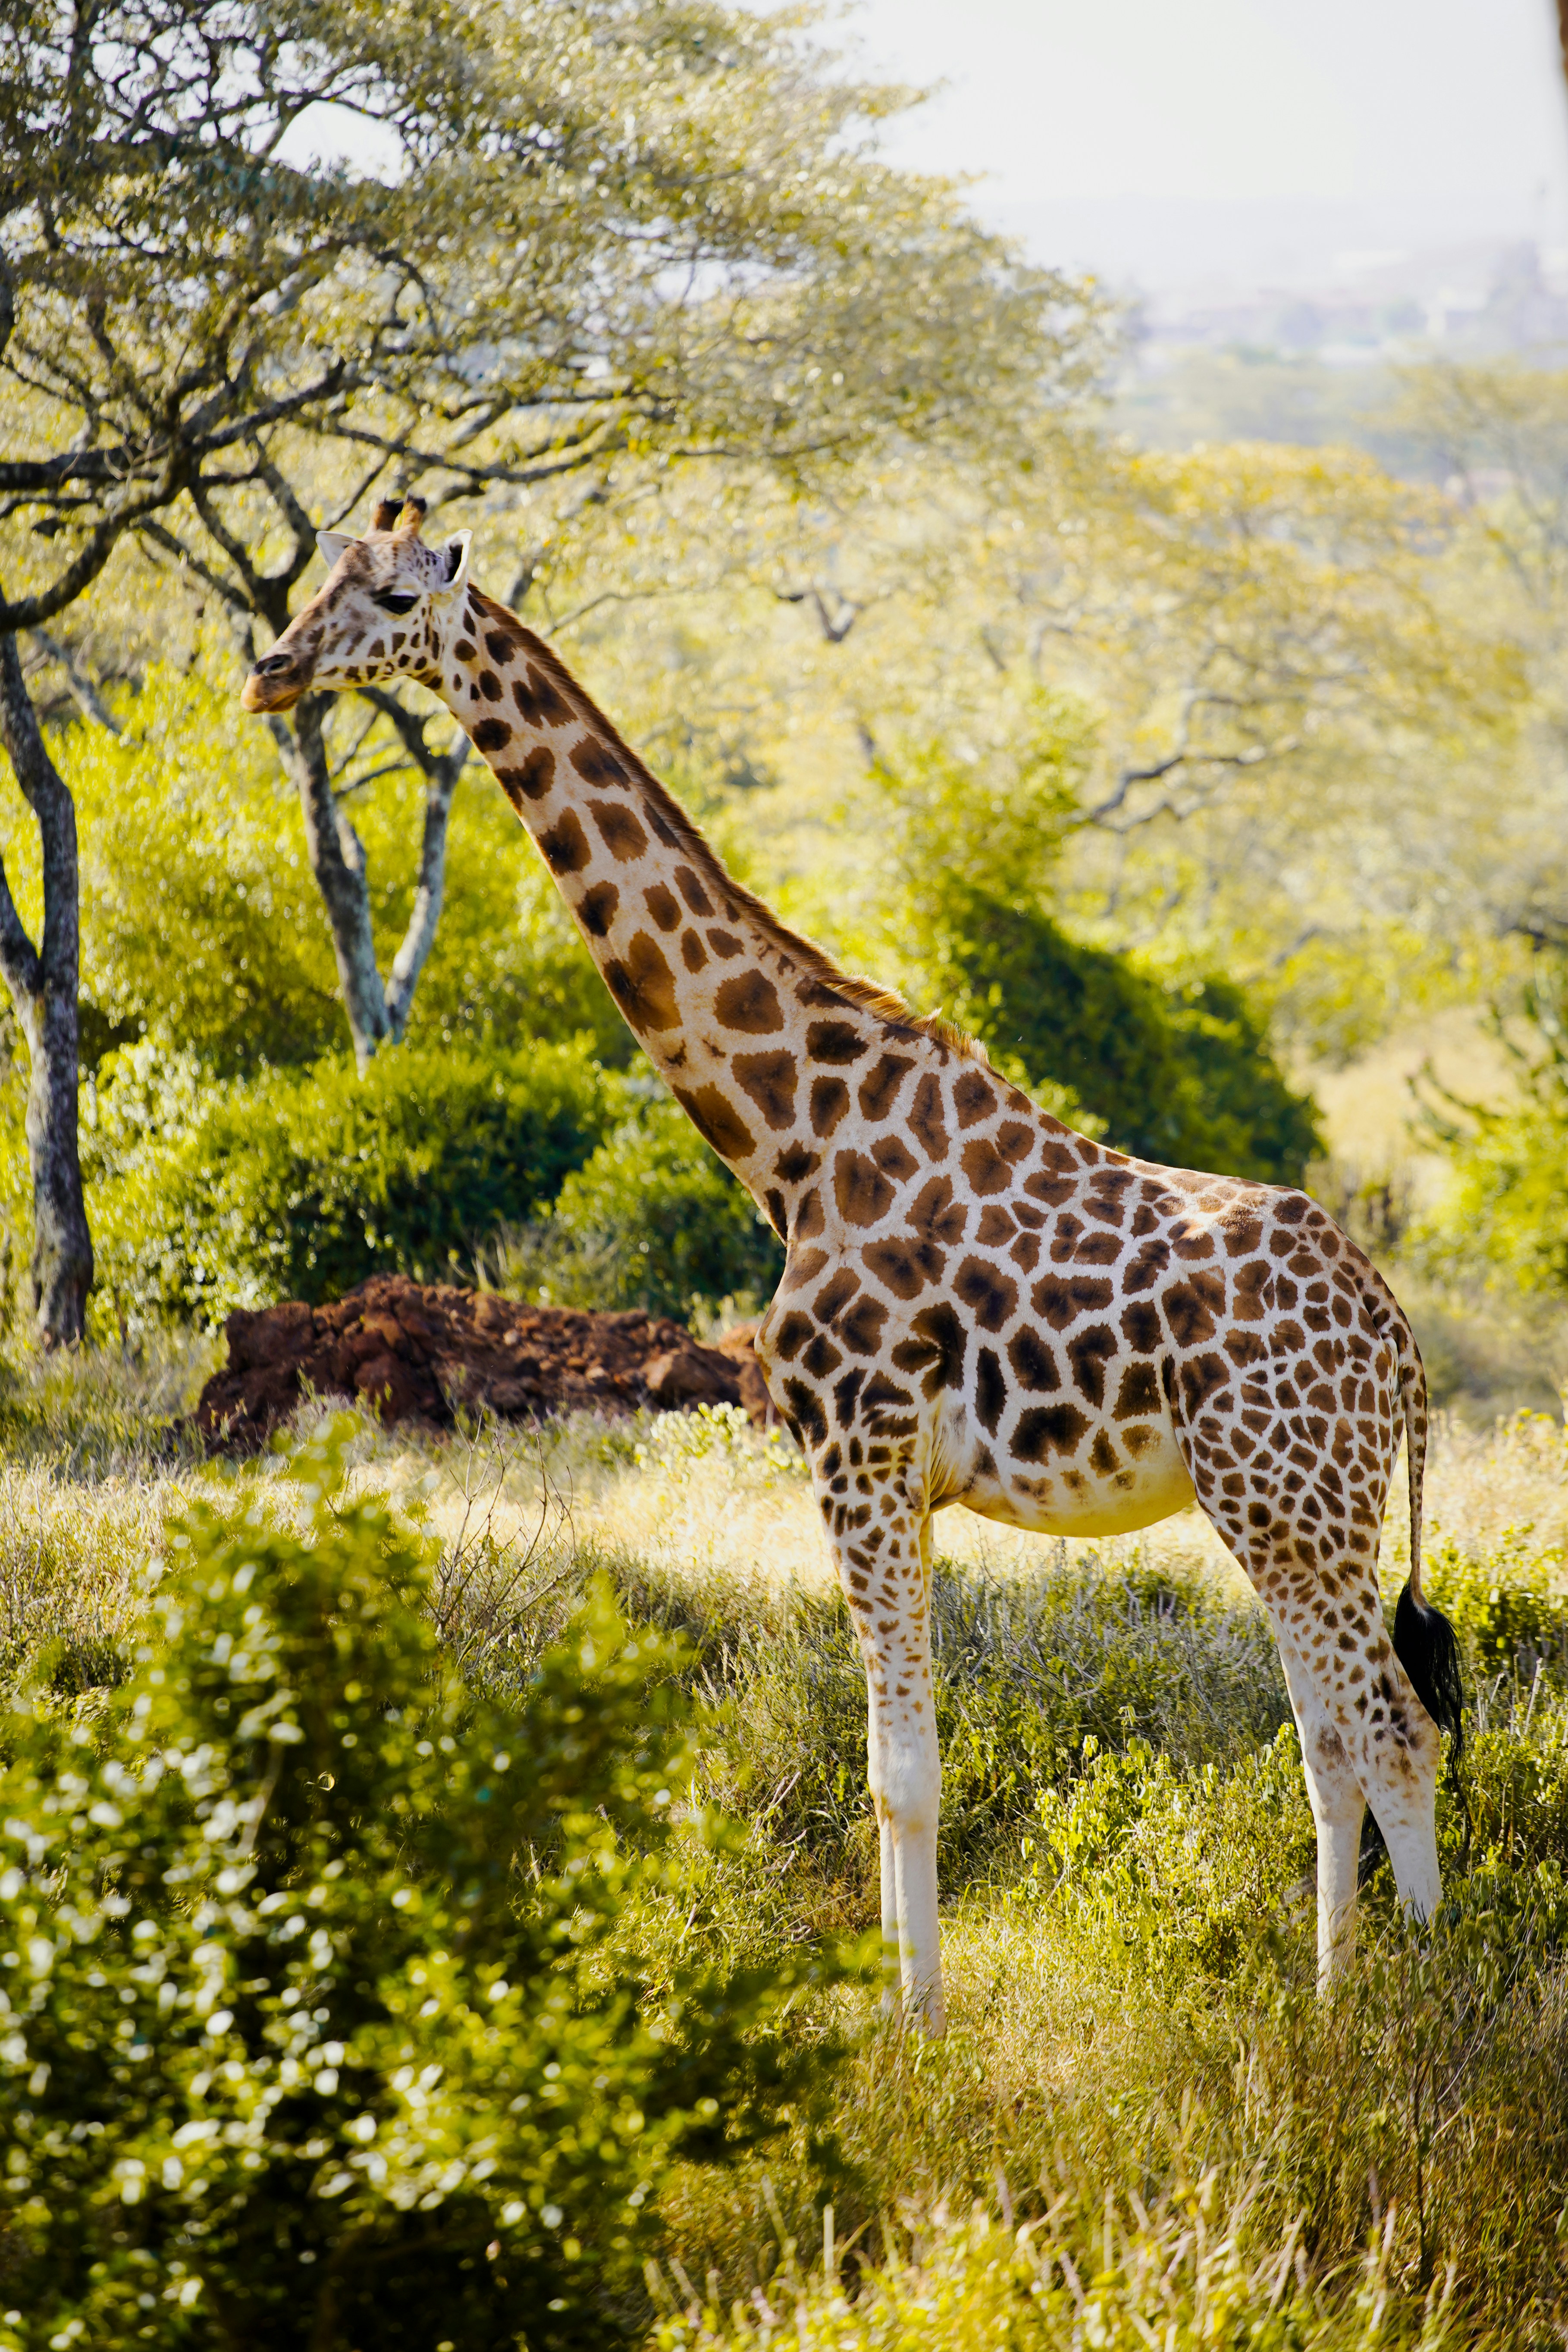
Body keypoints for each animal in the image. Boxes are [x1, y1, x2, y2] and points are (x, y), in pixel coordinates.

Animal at [241, 498, 1465, 2028]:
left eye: (395, 596)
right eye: (322, 576)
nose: (271, 670)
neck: (794, 1136)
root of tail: (1399, 1348)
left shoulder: (859, 1453)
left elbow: (902, 1775)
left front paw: (917, 2026)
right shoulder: (877, 1475)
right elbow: (885, 1767)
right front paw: (898, 2002)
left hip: (1289, 1502)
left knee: (1393, 1728)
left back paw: (1410, 2024)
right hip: (1298, 1512)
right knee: (1333, 1743)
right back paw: (1332, 1997)